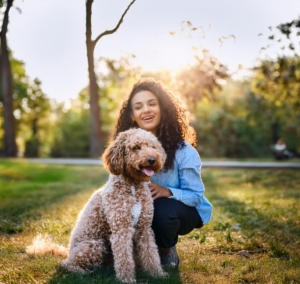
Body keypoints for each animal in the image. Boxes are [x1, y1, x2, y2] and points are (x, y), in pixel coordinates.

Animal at [52, 129, 168, 284]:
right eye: (136, 147)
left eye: (153, 147)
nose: (152, 160)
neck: (133, 187)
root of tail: (68, 252)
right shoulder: (121, 229)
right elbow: (124, 258)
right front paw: (127, 279)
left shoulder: (144, 228)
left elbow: (151, 253)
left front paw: (157, 274)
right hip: (95, 245)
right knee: (65, 264)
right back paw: (82, 272)